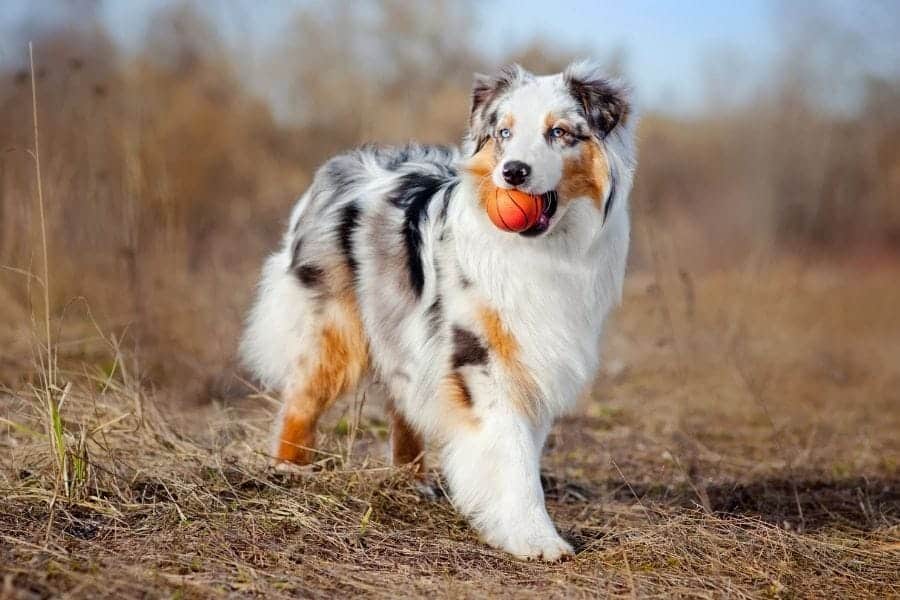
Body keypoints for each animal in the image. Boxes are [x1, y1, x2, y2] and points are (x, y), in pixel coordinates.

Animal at [239, 58, 632, 560]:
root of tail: (340, 166)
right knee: (303, 398)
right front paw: (535, 538)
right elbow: (512, 456)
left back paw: (412, 480)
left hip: (404, 331)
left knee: (403, 403)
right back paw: (290, 469)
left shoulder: (534, 358)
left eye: (559, 132)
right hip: (335, 328)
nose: (513, 172)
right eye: (504, 133)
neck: (542, 250)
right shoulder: (480, 358)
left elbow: (522, 449)